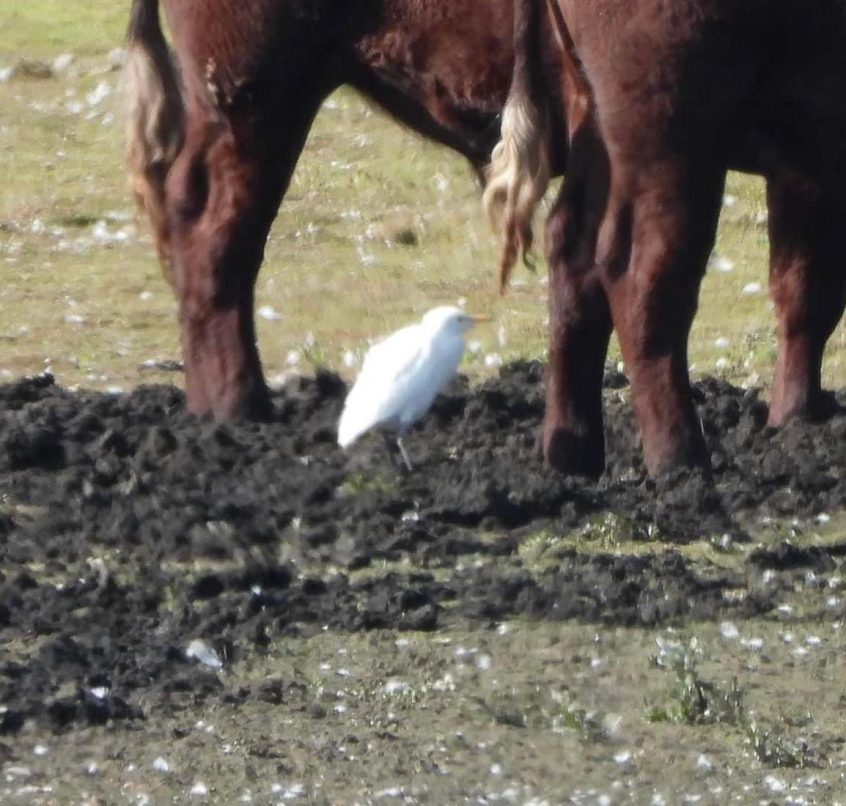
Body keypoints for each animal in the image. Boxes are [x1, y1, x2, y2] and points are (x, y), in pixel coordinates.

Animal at [485, 0, 846, 478]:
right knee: (642, 276)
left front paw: (797, 421)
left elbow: (806, 290)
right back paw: (681, 461)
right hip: (666, 122)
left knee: (572, 245)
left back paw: (573, 453)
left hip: (595, 115)